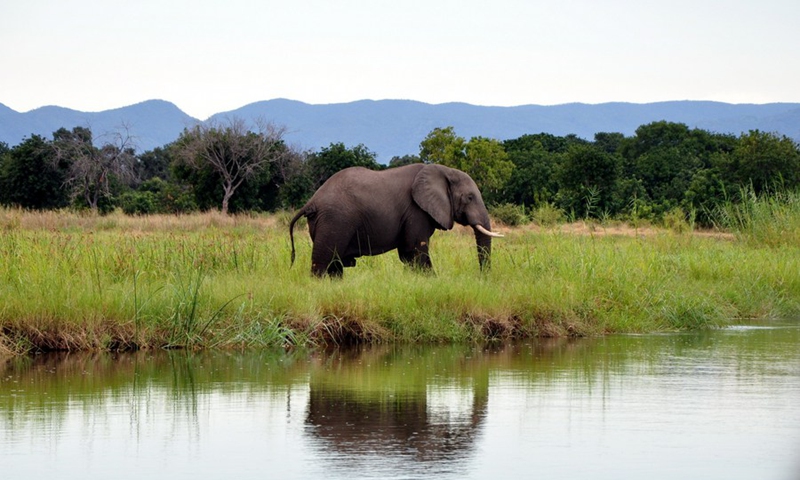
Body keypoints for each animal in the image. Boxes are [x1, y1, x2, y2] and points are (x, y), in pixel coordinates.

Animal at [289, 163, 503, 277]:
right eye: (470, 198)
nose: (482, 278)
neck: (442, 170)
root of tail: (312, 201)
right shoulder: (416, 211)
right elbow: (416, 251)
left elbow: (408, 255)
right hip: (334, 220)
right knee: (323, 262)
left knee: (335, 264)